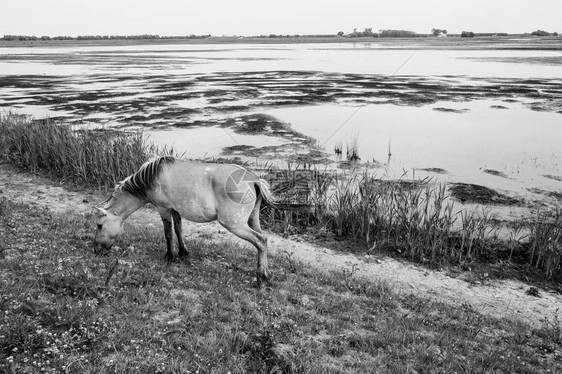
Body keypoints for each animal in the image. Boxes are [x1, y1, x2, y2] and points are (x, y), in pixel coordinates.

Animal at [94, 155, 284, 286]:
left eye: (99, 225)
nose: (96, 249)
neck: (152, 176)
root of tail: (253, 179)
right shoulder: (175, 210)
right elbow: (178, 230)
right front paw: (183, 253)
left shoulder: (164, 209)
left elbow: (168, 233)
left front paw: (170, 256)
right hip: (252, 221)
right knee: (262, 242)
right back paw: (267, 274)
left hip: (234, 225)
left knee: (261, 241)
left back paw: (262, 277)